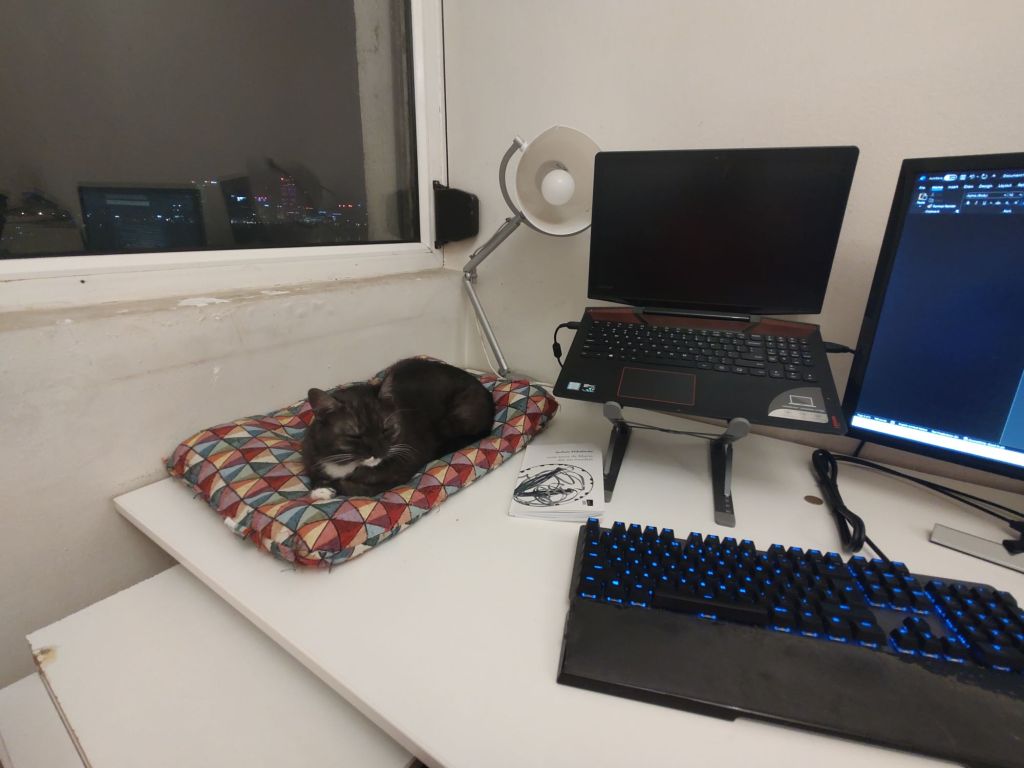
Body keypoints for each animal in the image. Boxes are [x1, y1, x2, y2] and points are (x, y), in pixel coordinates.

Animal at [303, 358, 494, 498]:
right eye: (355, 436)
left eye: (386, 429)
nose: (378, 452)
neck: (345, 463)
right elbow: (315, 477)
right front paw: (321, 488)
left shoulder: (399, 471)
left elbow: (358, 488)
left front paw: (324, 491)